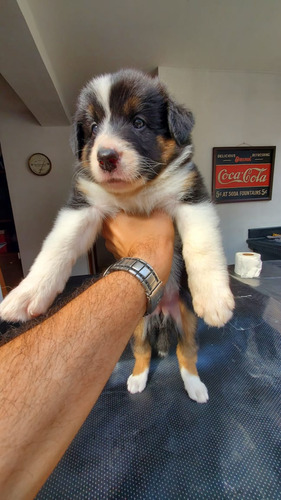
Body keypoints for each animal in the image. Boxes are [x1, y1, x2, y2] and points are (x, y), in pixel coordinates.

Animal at [0, 68, 234, 402]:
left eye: (138, 122)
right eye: (94, 127)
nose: (106, 157)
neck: (138, 191)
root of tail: (160, 312)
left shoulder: (191, 196)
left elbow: (202, 246)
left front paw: (214, 298)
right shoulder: (84, 205)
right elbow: (56, 248)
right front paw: (27, 294)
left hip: (187, 320)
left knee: (185, 352)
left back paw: (195, 386)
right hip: (135, 326)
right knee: (143, 352)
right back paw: (136, 379)